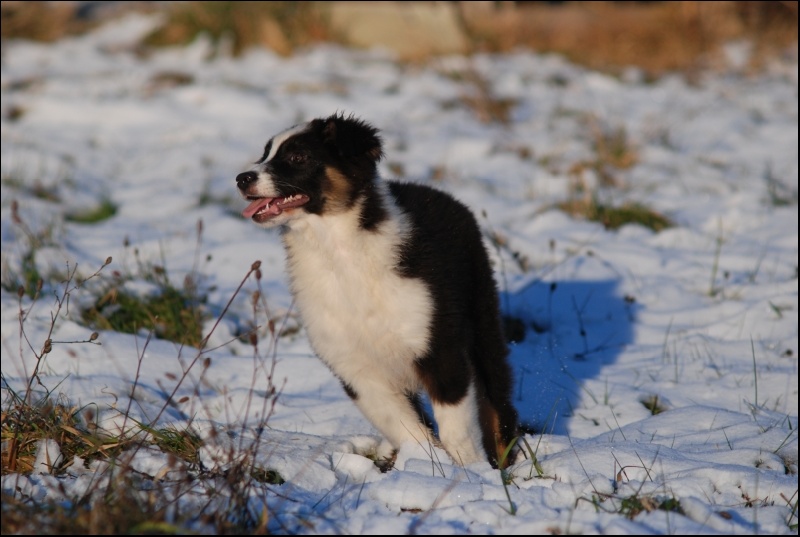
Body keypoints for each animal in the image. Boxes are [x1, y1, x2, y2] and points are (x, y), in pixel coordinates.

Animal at [236, 113, 518, 467]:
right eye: (265, 154)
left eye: (299, 157)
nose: (241, 178)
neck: (338, 251)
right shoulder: (354, 367)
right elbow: (407, 429)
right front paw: (425, 466)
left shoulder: (439, 347)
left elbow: (457, 428)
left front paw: (470, 471)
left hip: (482, 318)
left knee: (497, 401)